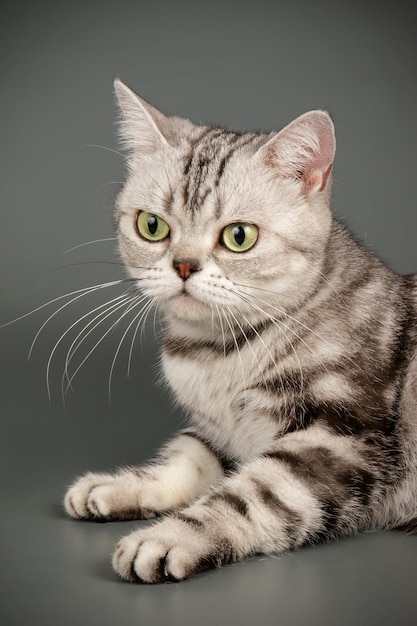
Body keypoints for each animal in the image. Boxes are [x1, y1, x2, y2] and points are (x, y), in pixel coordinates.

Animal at [64, 80, 416, 584]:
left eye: (238, 236)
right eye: (152, 226)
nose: (184, 265)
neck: (215, 356)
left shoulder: (338, 439)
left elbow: (248, 497)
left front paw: (168, 538)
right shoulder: (219, 434)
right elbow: (184, 458)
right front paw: (116, 487)